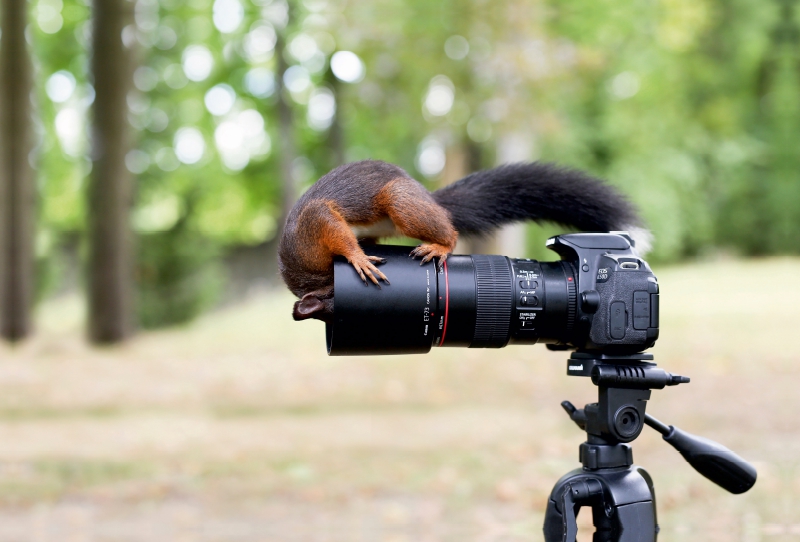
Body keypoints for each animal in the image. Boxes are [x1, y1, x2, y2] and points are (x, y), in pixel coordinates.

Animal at [278, 162, 640, 324]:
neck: (319, 278)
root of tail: (428, 198)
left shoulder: (312, 226)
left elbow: (334, 230)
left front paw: (358, 259)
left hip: (401, 204)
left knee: (447, 231)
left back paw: (440, 246)